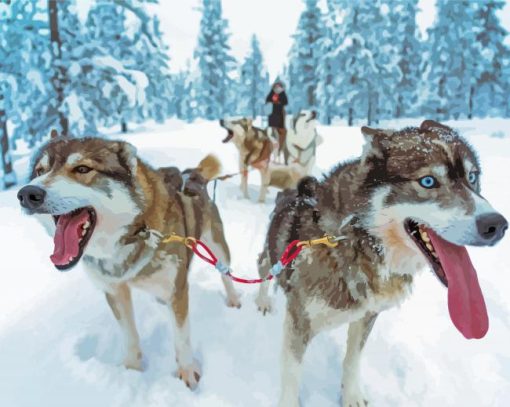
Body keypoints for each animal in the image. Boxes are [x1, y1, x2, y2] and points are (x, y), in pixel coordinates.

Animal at [255, 119, 506, 406]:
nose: (496, 225)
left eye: (472, 177)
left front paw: (351, 395)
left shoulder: (367, 315)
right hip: (269, 258)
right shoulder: (300, 321)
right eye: (428, 181)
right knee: (263, 269)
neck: (356, 240)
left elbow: (353, 359)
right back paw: (262, 301)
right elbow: (292, 374)